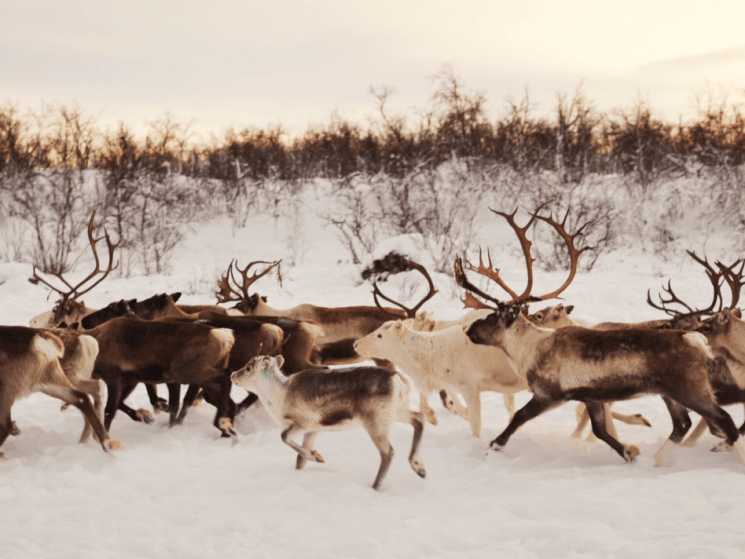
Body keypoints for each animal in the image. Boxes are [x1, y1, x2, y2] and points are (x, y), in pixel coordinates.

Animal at [231, 355, 426, 491]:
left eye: (248, 368)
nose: (233, 375)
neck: (280, 397)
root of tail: (399, 380)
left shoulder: (304, 422)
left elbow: (284, 437)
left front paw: (317, 456)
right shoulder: (314, 429)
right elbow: (299, 459)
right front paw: (310, 459)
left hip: (375, 420)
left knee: (388, 452)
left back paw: (375, 487)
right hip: (397, 411)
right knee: (419, 418)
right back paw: (419, 467)